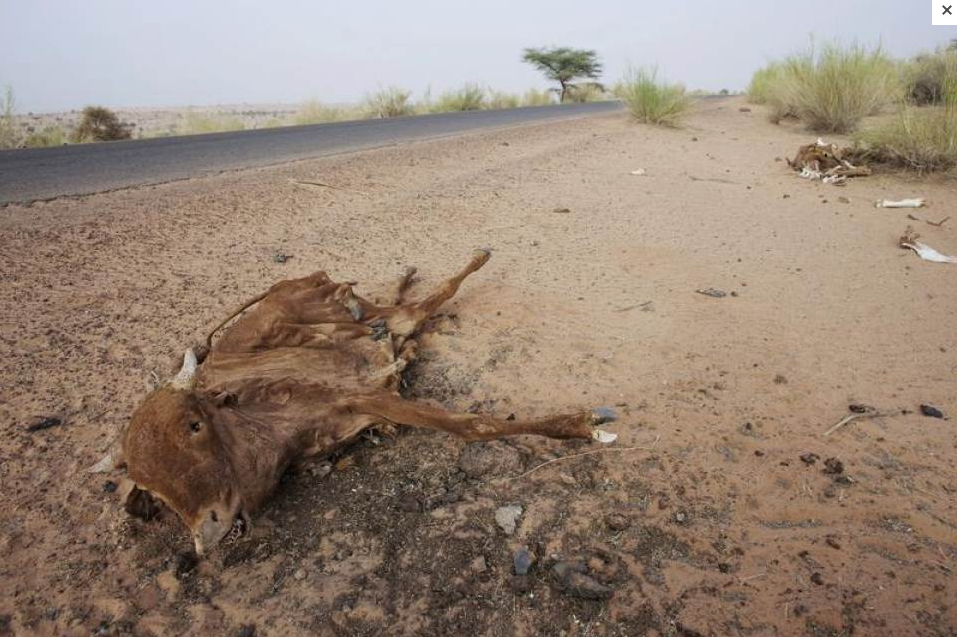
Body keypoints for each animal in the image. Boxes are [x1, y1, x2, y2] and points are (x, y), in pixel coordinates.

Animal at [93, 251, 616, 556]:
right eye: (152, 490)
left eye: (194, 426)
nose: (207, 534)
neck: (254, 424)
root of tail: (293, 281)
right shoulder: (366, 400)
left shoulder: (361, 393)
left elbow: (472, 425)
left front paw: (583, 424)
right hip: (383, 319)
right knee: (416, 306)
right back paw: (411, 285)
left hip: (360, 314)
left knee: (427, 298)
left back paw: (463, 262)